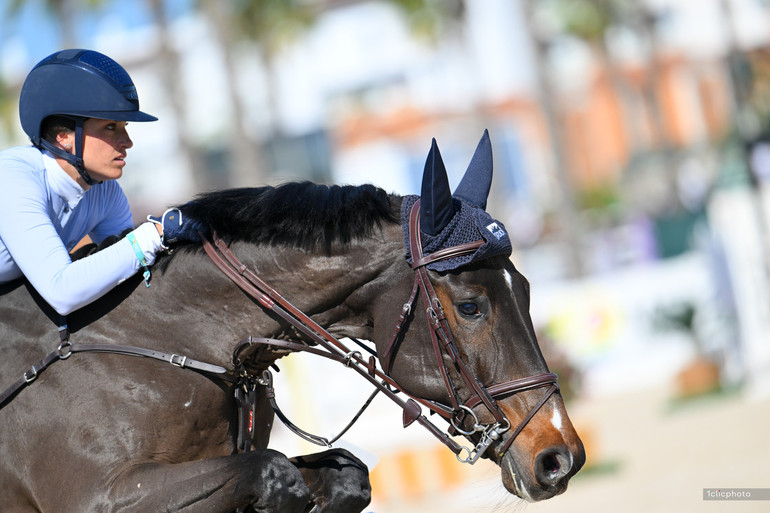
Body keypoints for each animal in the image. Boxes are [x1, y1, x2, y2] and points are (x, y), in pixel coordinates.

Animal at [0, 130, 584, 510]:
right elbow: (274, 473)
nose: (560, 458)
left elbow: (343, 475)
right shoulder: (99, 497)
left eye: (526, 291)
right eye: (469, 306)